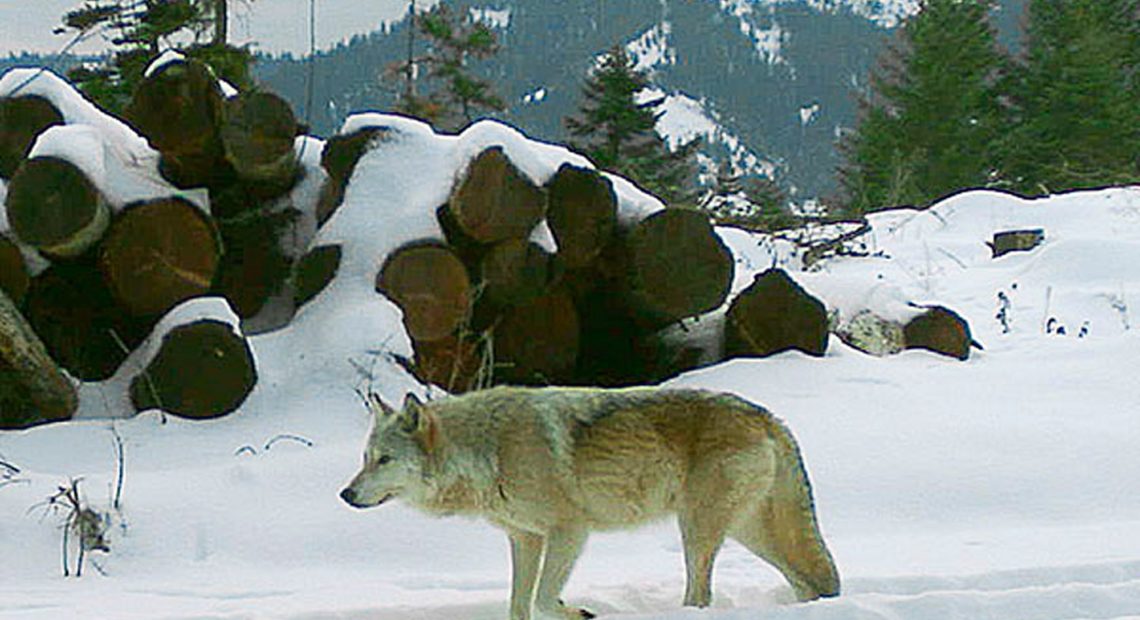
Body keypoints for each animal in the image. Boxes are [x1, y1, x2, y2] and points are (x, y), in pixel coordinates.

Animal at [337, 385, 839, 615]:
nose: (345, 494)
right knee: (808, 581)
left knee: (700, 596)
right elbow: (519, 606)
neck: (490, 450)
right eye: (365, 458)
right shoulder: (525, 539)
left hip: (698, 531)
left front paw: (580, 613)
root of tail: (768, 416)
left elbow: (544, 601)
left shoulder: (569, 532)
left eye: (384, 459)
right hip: (746, 532)